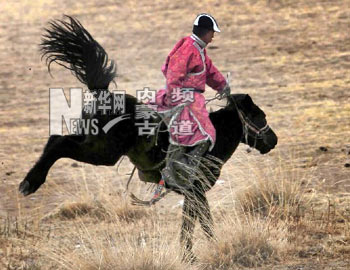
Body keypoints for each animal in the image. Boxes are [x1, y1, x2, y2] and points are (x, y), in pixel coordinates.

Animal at [19, 15, 278, 260]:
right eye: (260, 116)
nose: (273, 140)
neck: (216, 137)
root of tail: (104, 95)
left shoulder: (193, 194)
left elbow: (196, 223)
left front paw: (193, 253)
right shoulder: (195, 191)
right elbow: (198, 223)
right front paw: (194, 253)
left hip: (88, 138)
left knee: (55, 139)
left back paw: (30, 181)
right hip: (102, 151)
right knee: (59, 143)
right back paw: (29, 184)